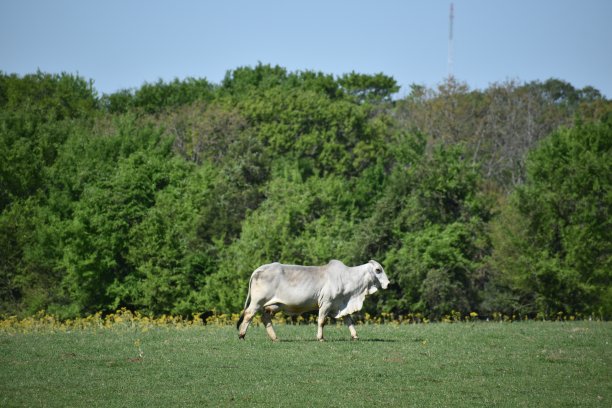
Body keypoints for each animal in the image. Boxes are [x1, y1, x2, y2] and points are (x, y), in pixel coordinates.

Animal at [237, 260, 390, 340]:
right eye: (378, 270)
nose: (388, 283)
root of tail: (259, 269)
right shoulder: (326, 303)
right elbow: (321, 321)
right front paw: (320, 338)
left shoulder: (340, 306)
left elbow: (349, 321)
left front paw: (355, 336)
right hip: (257, 302)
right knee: (249, 315)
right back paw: (242, 335)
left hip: (274, 305)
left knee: (265, 318)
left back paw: (275, 338)